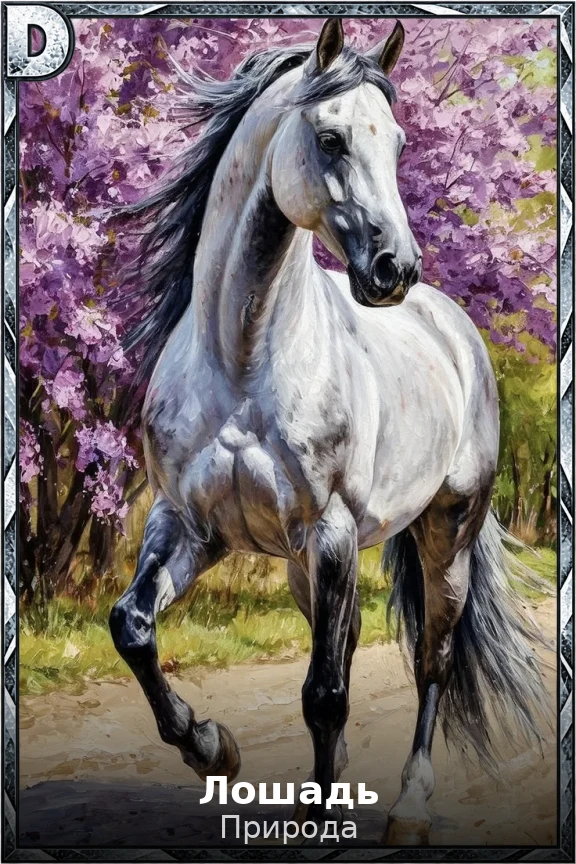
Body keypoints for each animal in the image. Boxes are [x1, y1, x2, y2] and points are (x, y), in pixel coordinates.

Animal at [110, 18, 547, 845]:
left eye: (400, 142)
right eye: (331, 138)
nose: (394, 268)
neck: (242, 359)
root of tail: (452, 327)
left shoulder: (332, 529)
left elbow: (326, 691)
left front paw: (318, 813)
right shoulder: (187, 525)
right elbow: (133, 627)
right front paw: (213, 747)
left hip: (446, 533)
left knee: (432, 659)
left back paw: (410, 807)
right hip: (302, 567)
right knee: (342, 639)